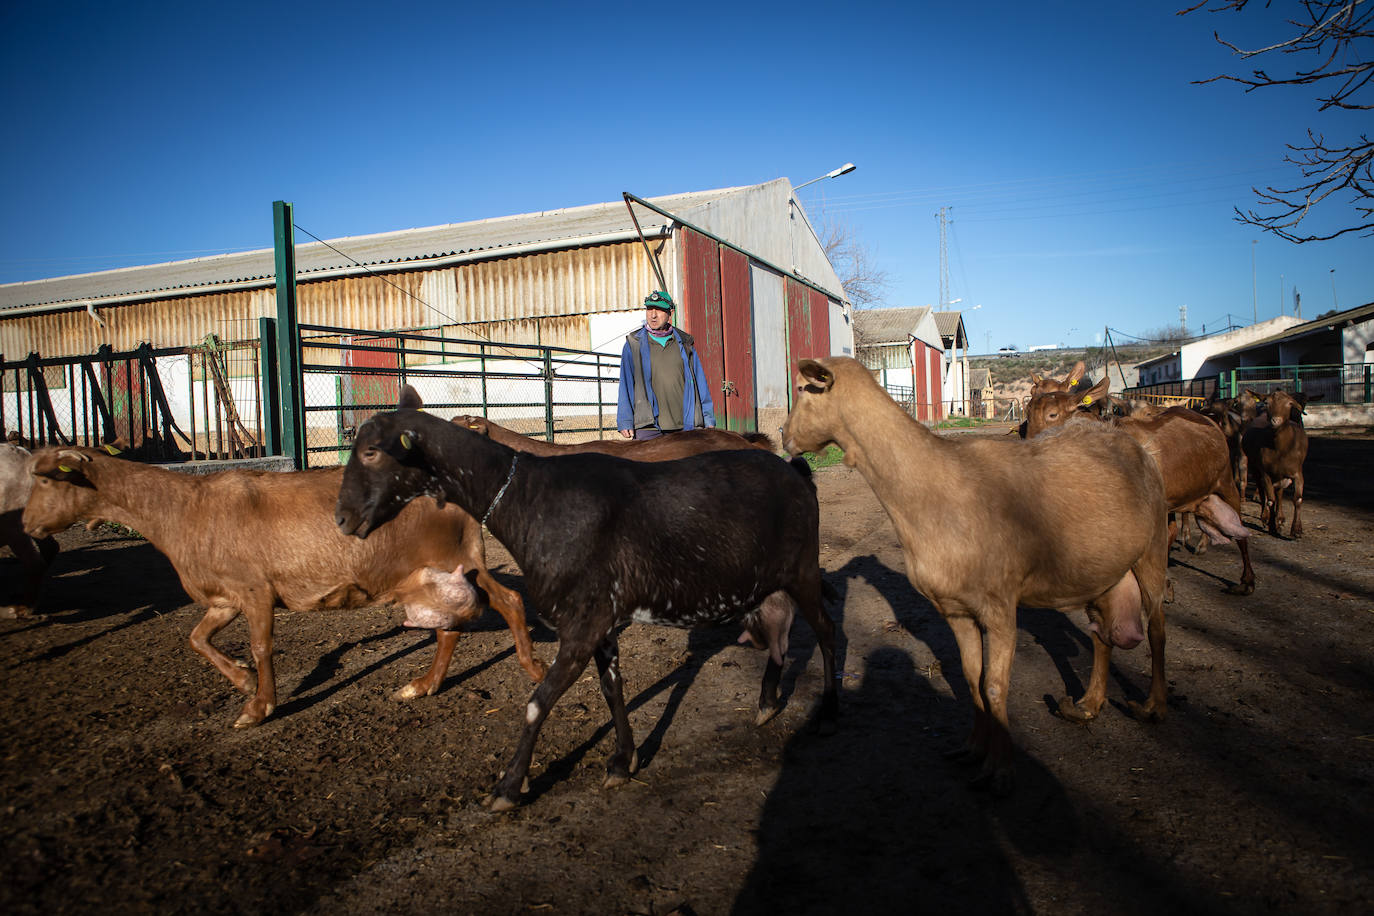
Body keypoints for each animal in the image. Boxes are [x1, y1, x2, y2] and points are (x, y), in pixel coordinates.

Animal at [340, 387, 835, 807]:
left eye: (372, 451)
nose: (343, 518)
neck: (533, 495)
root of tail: (789, 467)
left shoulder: (584, 622)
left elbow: (538, 701)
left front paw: (508, 787)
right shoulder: (601, 619)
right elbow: (611, 688)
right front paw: (621, 762)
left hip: (801, 569)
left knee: (826, 630)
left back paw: (827, 707)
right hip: (765, 577)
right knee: (779, 628)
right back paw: (767, 702)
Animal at [785, 357, 1170, 796]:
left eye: (803, 388)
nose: (783, 435)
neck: (931, 490)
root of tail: (1130, 441)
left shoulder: (1000, 605)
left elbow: (994, 685)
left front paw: (1000, 772)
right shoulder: (956, 610)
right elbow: (972, 679)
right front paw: (972, 749)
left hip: (1153, 546)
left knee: (1157, 626)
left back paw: (1154, 706)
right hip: (1100, 569)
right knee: (1100, 635)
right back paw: (1088, 704)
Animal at [1247, 387, 1308, 538]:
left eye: (1289, 403)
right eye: (1267, 402)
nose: (1276, 420)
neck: (1281, 449)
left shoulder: (1297, 472)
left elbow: (1297, 499)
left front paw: (1296, 530)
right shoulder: (1265, 472)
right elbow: (1270, 499)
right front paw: (1272, 527)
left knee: (1279, 493)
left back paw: (1279, 519)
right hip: (1255, 468)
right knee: (1264, 492)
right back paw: (1266, 518)